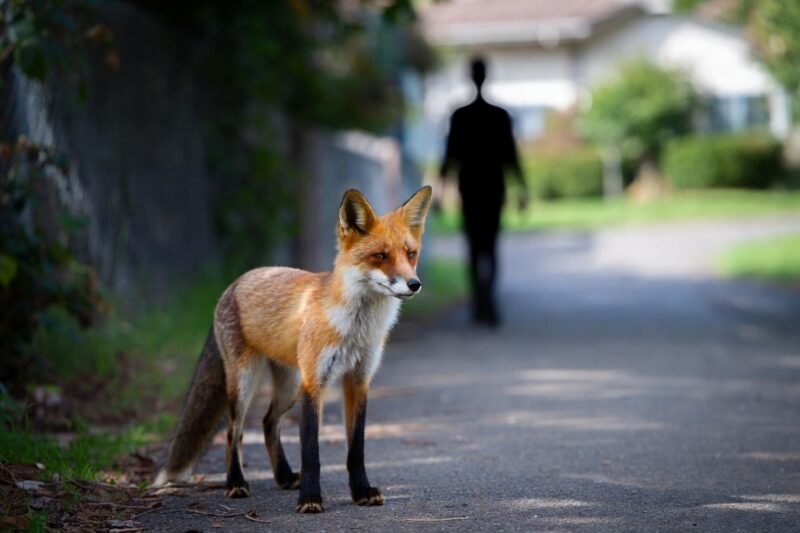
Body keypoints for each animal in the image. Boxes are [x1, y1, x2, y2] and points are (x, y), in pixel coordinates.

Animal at [153, 186, 432, 514]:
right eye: (380, 256)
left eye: (410, 254)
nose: (414, 284)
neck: (356, 328)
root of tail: (235, 283)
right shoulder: (314, 382)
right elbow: (310, 450)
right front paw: (310, 499)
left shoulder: (358, 380)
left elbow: (356, 449)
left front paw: (361, 491)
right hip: (245, 384)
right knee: (234, 431)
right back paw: (235, 483)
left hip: (288, 387)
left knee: (268, 423)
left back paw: (284, 476)